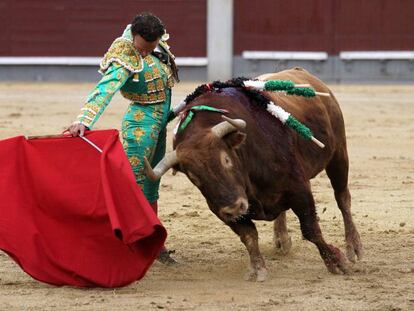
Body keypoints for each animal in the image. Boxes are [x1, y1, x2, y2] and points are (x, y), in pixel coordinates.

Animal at [145, 68, 362, 282]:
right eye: (194, 176)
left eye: (226, 160)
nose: (234, 207)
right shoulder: (220, 209)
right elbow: (249, 235)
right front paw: (257, 268)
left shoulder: (298, 188)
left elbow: (311, 229)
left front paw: (336, 262)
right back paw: (282, 239)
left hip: (339, 153)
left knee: (342, 198)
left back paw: (353, 247)